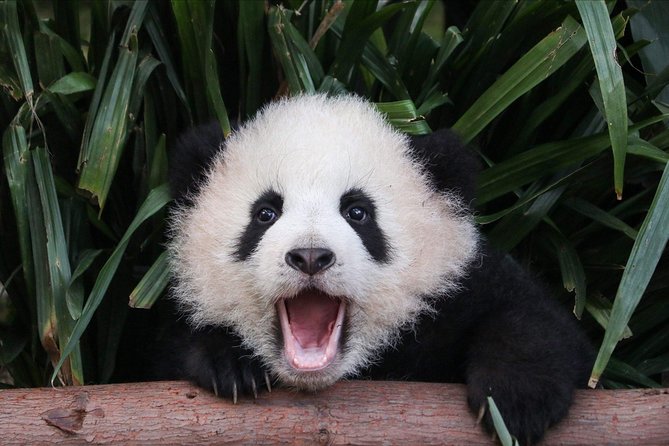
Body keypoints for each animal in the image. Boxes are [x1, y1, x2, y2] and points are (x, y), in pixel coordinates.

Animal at [162, 94, 592, 444]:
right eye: (265, 214)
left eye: (358, 212)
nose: (310, 256)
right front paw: (232, 364)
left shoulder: (458, 286)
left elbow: (534, 319)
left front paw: (515, 400)